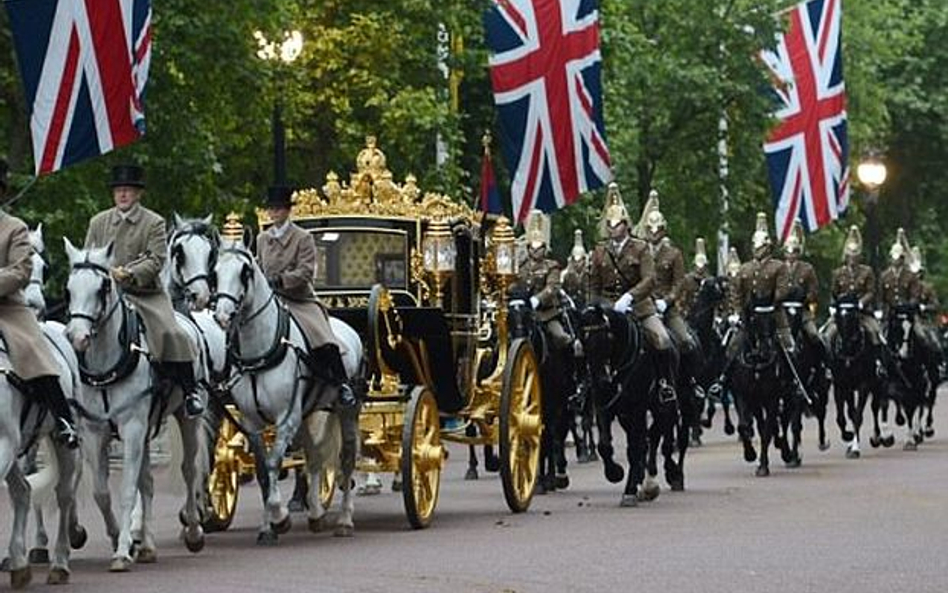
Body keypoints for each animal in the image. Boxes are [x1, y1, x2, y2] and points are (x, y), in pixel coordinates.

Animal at [0, 322, 86, 584]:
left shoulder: (4, 443)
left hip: (63, 444)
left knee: (64, 495)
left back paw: (60, 563)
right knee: (23, 491)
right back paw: (18, 563)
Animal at [64, 238, 210, 572]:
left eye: (103, 287)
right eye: (69, 288)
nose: (77, 337)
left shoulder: (131, 428)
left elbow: (128, 489)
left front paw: (121, 551)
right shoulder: (96, 432)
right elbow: (102, 493)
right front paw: (122, 538)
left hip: (187, 418)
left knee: (189, 470)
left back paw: (194, 532)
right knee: (149, 482)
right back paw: (147, 546)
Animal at [213, 237, 362, 540]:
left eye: (245, 271)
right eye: (216, 271)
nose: (222, 315)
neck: (260, 353)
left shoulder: (285, 418)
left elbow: (273, 464)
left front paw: (279, 518)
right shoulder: (253, 422)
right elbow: (262, 470)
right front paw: (267, 526)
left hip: (347, 410)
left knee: (346, 459)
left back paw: (344, 519)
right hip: (308, 414)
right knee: (314, 456)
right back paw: (316, 514)